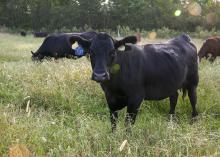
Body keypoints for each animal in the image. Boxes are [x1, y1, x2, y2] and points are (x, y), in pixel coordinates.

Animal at [69, 33, 199, 132]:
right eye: (91, 52)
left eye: (112, 52)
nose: (100, 75)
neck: (114, 85)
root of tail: (183, 37)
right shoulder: (109, 97)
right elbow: (113, 121)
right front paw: (113, 136)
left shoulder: (136, 98)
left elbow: (128, 123)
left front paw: (126, 140)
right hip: (172, 82)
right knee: (174, 98)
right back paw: (170, 120)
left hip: (193, 82)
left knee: (193, 100)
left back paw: (194, 120)